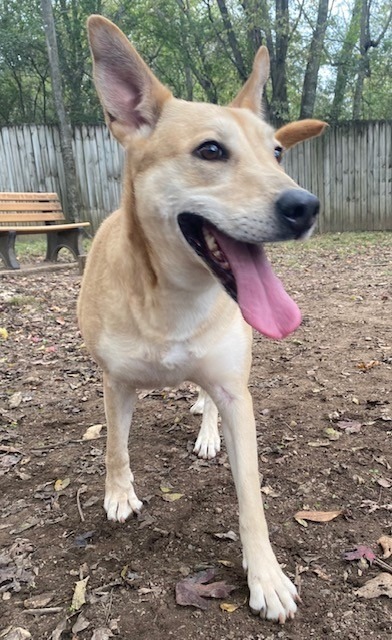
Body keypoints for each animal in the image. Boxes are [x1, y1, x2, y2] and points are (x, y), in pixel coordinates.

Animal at [78, 16, 326, 624]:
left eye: (277, 153)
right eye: (210, 150)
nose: (305, 206)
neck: (175, 298)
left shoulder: (238, 394)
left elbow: (251, 496)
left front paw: (266, 576)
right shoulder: (114, 382)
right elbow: (116, 445)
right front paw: (118, 493)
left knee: (210, 395)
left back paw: (206, 426)